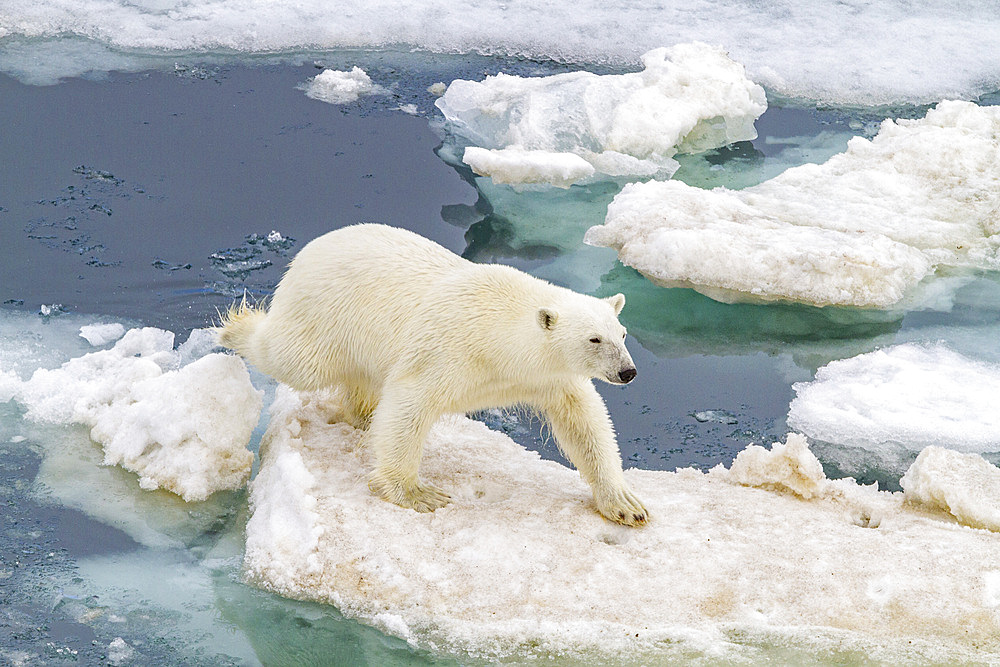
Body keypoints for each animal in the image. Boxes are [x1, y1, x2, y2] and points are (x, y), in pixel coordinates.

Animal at [221, 224, 648, 528]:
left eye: (623, 333)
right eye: (594, 338)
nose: (627, 372)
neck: (499, 335)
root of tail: (310, 250)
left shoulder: (547, 376)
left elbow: (583, 419)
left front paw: (625, 504)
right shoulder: (447, 348)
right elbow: (409, 401)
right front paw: (417, 493)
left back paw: (362, 416)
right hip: (323, 317)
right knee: (292, 358)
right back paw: (235, 327)